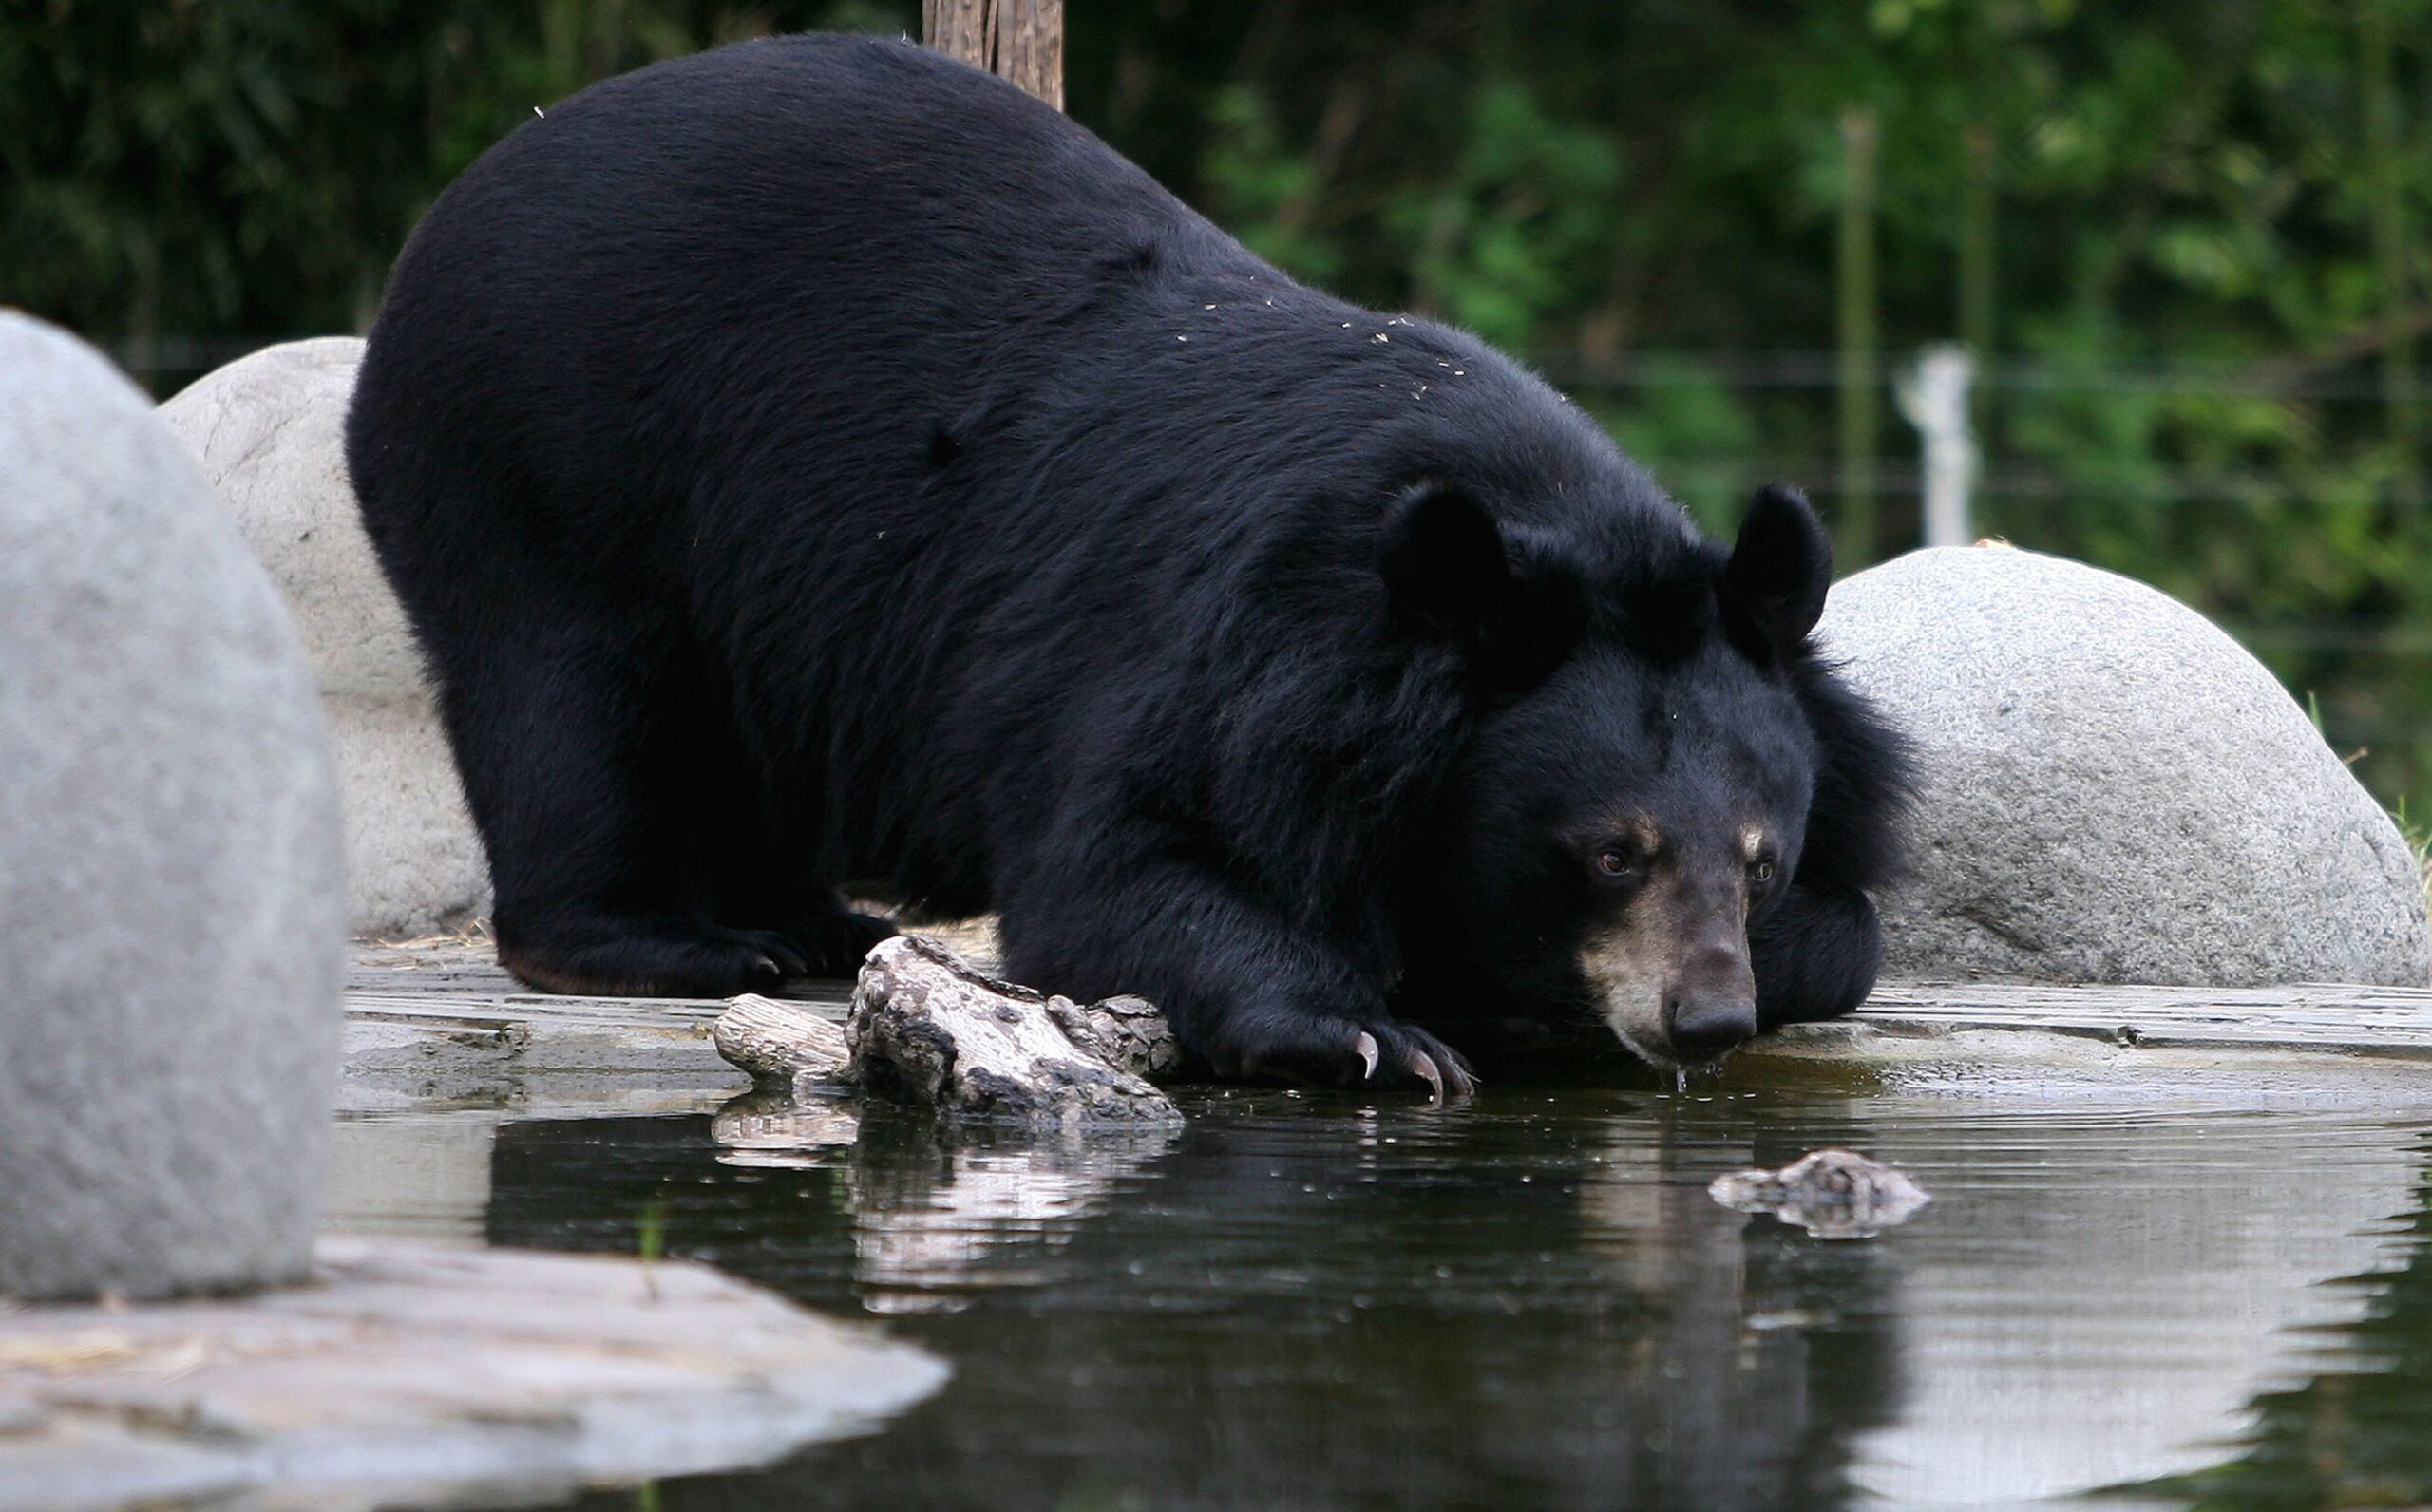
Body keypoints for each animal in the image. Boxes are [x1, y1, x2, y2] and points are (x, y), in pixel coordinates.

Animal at [348, 29, 1896, 1093]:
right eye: (1610, 851)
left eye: (1759, 859)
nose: (1703, 1017)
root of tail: (462, 199)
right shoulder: (1223, 651)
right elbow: (1120, 866)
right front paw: (1375, 1032)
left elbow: (1859, 927)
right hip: (548, 457)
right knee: (573, 698)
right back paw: (683, 942)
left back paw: (811, 919)